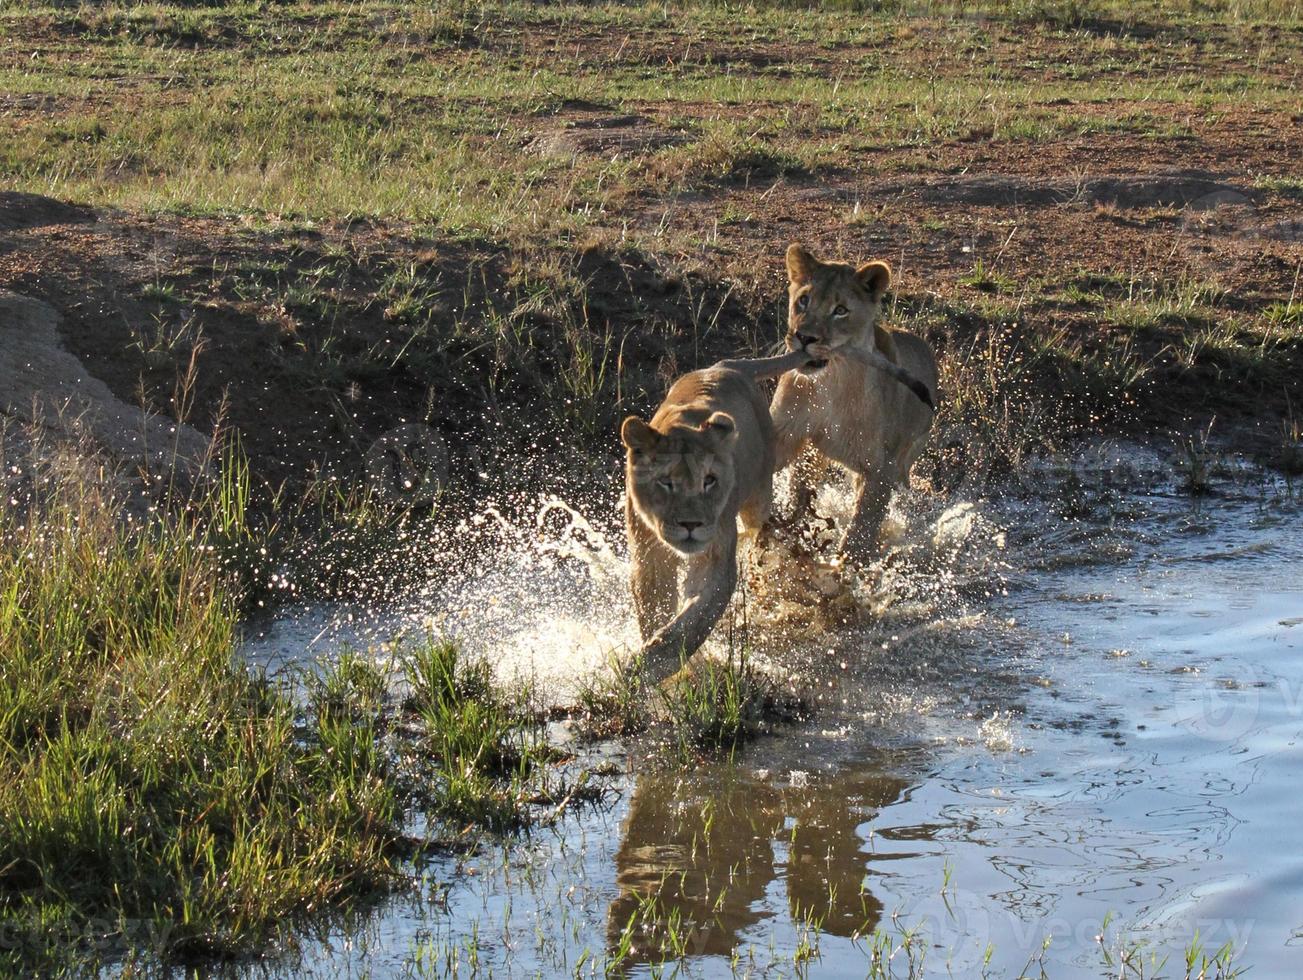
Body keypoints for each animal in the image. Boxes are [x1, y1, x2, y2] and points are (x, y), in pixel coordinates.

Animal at [622, 349, 813, 682]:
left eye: (709, 480)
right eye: (666, 482)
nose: (691, 525)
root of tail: (729, 365)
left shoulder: (716, 553)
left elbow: (697, 619)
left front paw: (653, 666)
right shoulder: (650, 554)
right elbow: (655, 606)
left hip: (759, 496)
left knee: (760, 527)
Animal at [766, 243, 943, 562]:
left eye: (840, 311)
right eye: (803, 300)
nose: (804, 337)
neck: (830, 383)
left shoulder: (881, 468)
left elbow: (863, 524)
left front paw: (849, 564)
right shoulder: (784, 435)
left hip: (907, 456)